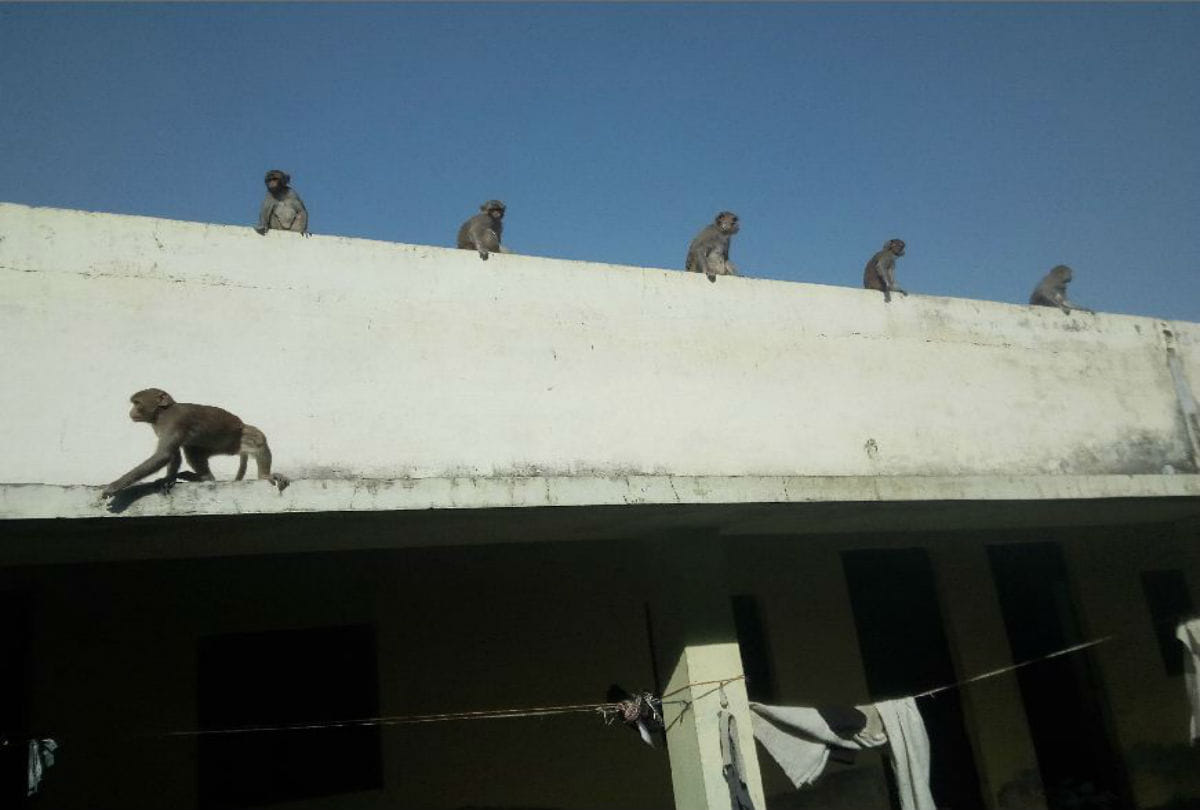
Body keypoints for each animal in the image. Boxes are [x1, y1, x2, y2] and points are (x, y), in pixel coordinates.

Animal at [101, 388, 288, 498]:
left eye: (136, 403)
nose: (131, 411)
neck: (161, 413)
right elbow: (173, 454)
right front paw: (167, 479)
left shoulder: (174, 420)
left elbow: (163, 454)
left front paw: (115, 486)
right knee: (191, 448)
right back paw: (203, 477)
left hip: (233, 440)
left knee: (257, 439)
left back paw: (262, 475)